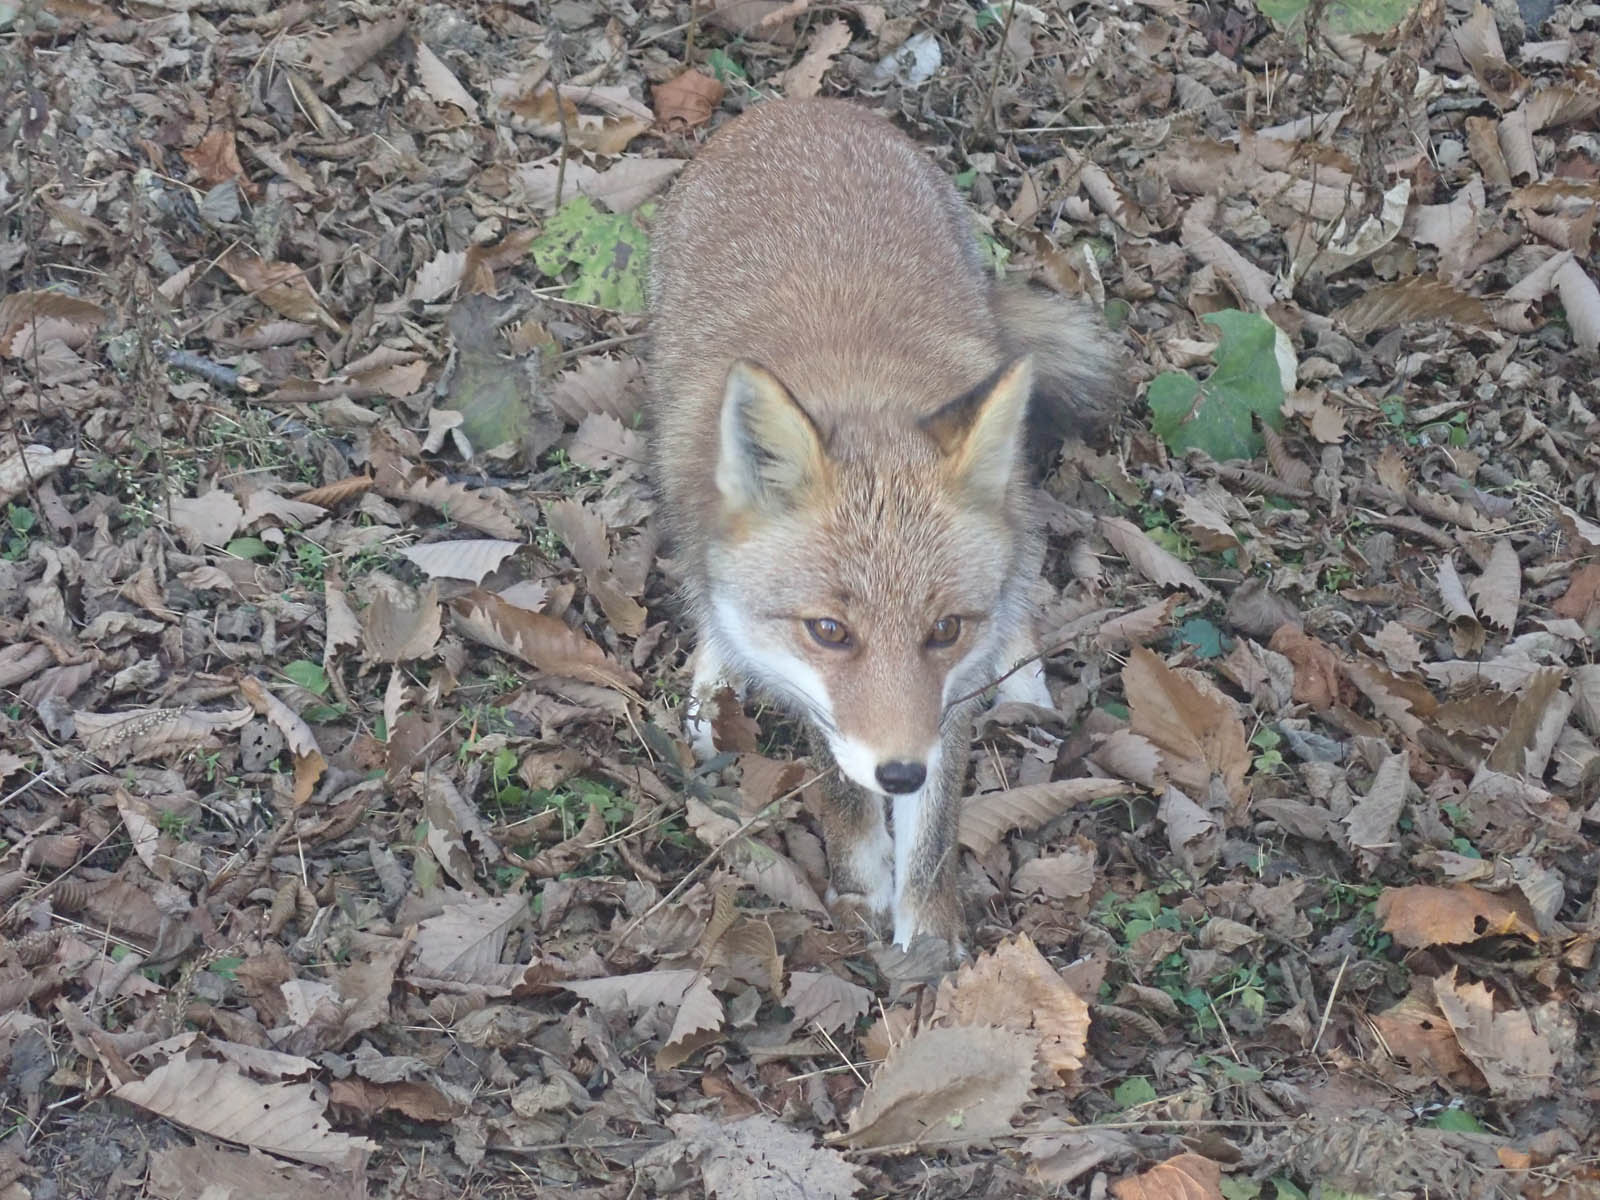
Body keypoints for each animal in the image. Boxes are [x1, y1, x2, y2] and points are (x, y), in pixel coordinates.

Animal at [643, 96, 1120, 960]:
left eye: (945, 630)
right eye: (830, 632)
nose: (900, 773)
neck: (860, 388)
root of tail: (799, 107)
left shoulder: (947, 702)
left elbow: (933, 835)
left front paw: (927, 943)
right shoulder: (818, 692)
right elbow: (840, 781)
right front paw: (861, 879)